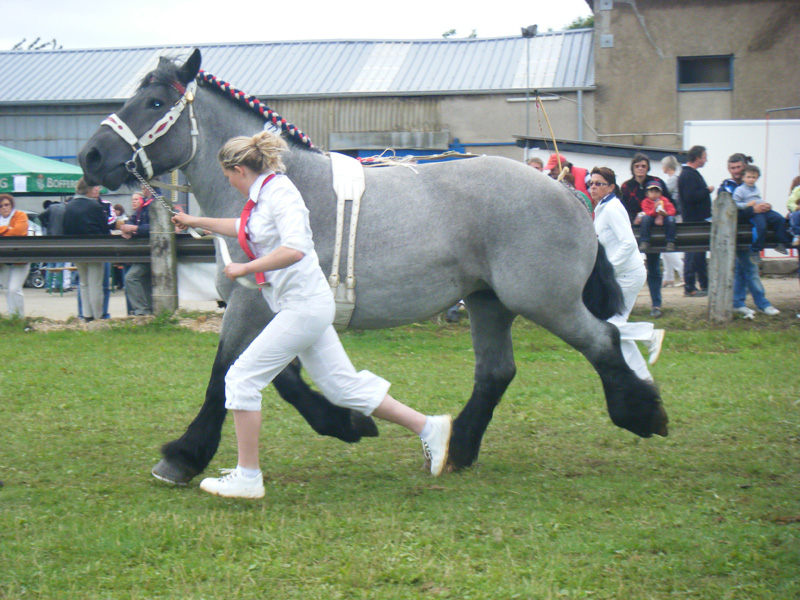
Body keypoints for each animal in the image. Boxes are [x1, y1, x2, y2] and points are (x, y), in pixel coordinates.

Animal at [81, 49, 668, 486]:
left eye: (155, 100)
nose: (90, 157)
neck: (275, 184)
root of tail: (571, 192)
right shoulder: (278, 309)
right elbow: (284, 378)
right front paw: (346, 423)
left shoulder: (252, 304)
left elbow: (226, 373)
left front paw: (181, 457)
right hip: (489, 301)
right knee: (497, 371)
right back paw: (459, 448)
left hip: (545, 301)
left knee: (604, 342)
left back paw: (643, 415)